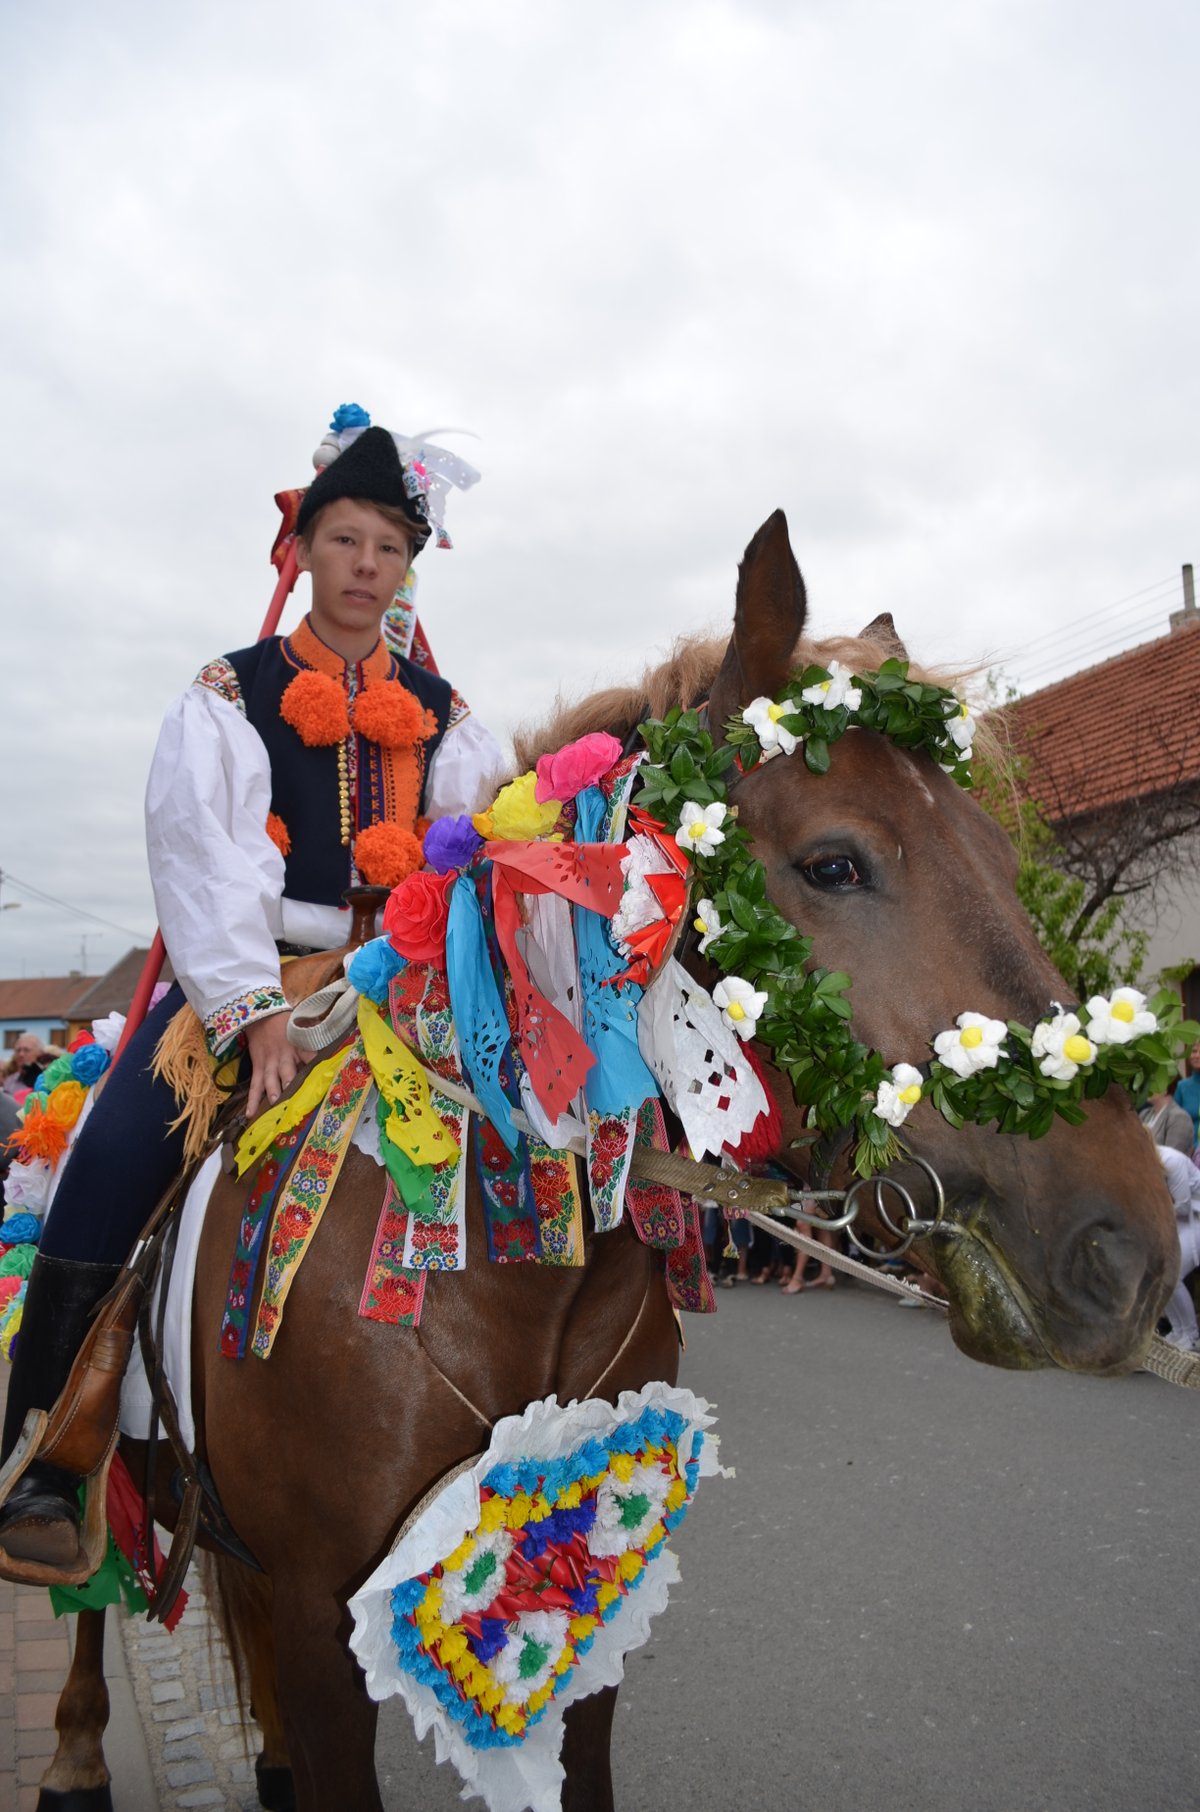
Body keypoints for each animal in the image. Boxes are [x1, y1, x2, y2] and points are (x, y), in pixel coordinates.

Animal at [32, 514, 1181, 1812]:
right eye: (834, 863)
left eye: (996, 844)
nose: (1128, 1255)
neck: (502, 1272)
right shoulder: (330, 1629)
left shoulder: (586, 1611)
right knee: (84, 1561)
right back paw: (73, 1744)